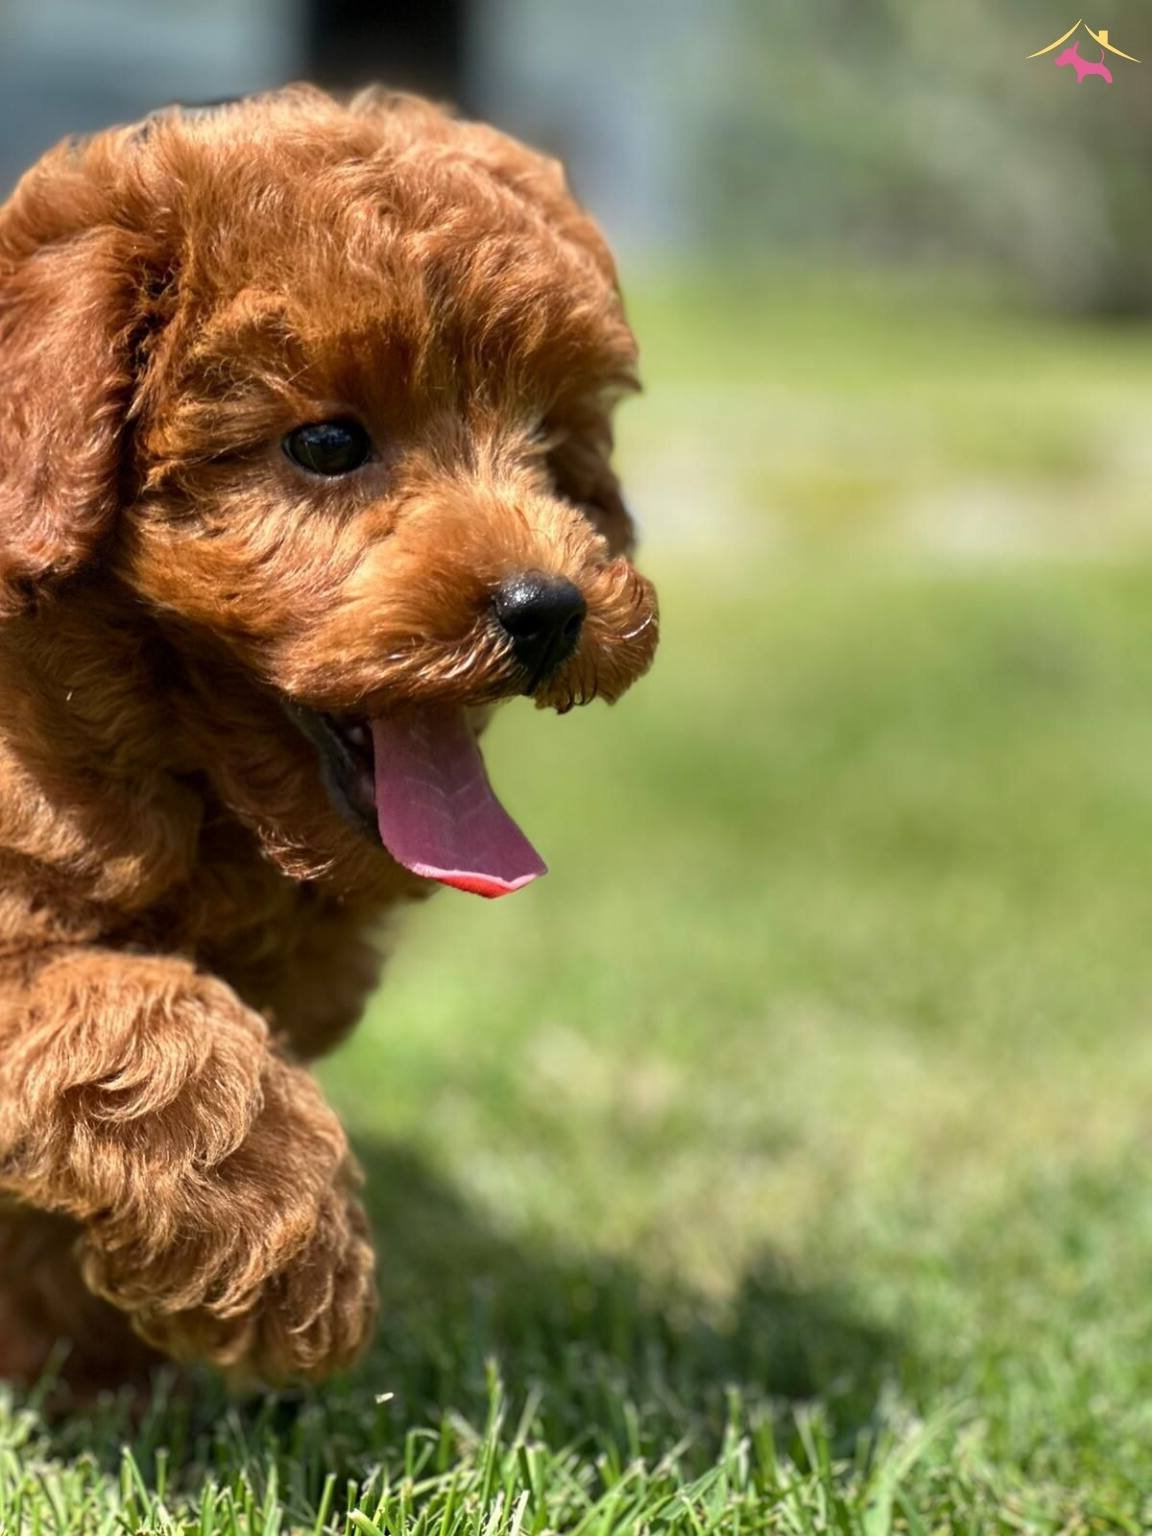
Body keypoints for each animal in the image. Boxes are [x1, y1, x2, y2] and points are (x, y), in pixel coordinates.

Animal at [0, 85, 658, 1386]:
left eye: (550, 446)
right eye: (326, 445)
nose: (549, 608)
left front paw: (103, 1369)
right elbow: (144, 1010)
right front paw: (291, 1270)